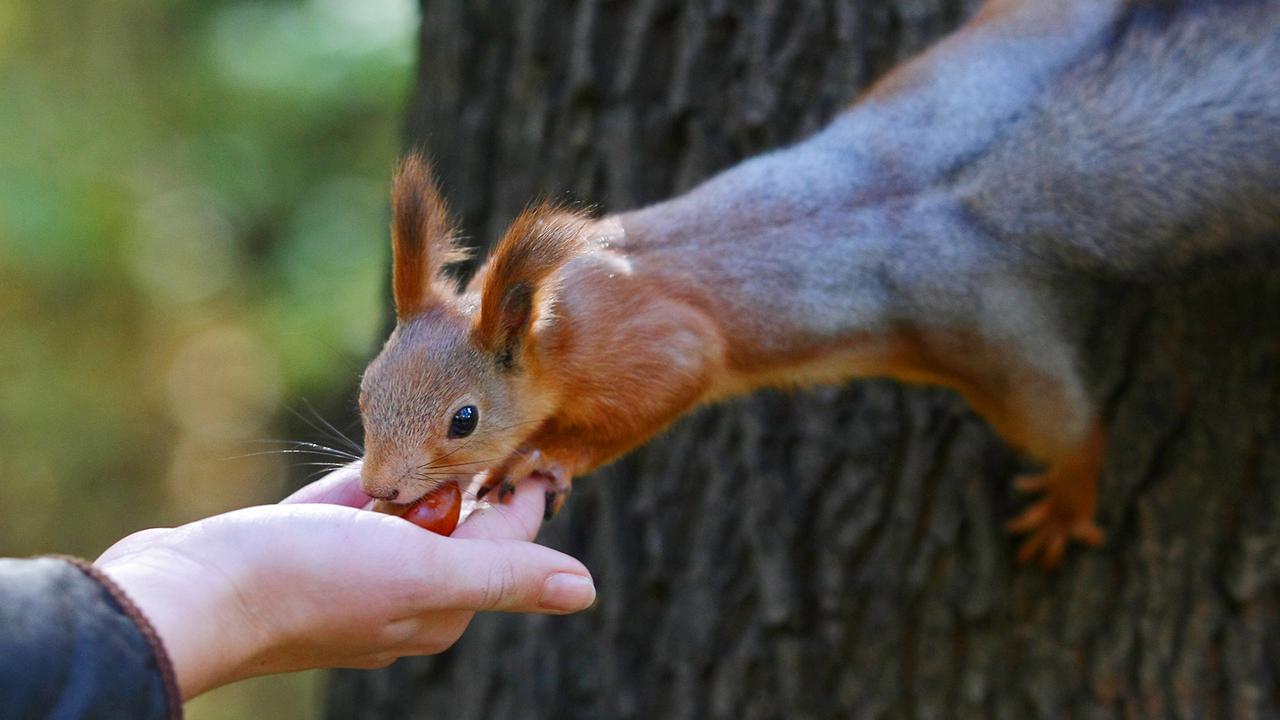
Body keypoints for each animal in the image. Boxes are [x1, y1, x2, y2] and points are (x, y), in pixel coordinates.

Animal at [358, 0, 1280, 563]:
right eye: (367, 389)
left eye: (465, 419)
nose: (378, 488)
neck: (560, 319)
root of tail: (966, 198)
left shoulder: (660, 347)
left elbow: (663, 387)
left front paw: (547, 454)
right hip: (995, 51)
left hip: (991, 343)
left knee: (1069, 426)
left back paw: (1067, 499)